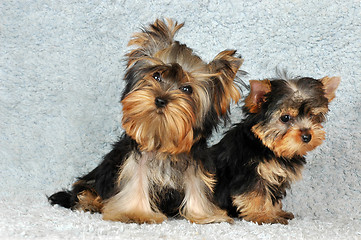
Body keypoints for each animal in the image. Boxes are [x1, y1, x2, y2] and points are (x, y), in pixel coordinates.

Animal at [48, 19, 245, 225]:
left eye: (187, 89)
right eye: (156, 75)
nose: (160, 99)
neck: (161, 140)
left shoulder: (193, 164)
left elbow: (196, 186)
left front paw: (205, 215)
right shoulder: (136, 161)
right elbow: (137, 181)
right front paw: (134, 213)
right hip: (97, 176)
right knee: (84, 190)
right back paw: (89, 202)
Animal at [210, 74, 338, 224]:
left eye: (312, 116)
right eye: (285, 118)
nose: (307, 136)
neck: (266, 147)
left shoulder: (277, 176)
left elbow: (272, 196)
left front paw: (276, 212)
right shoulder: (251, 174)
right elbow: (256, 195)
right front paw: (262, 216)